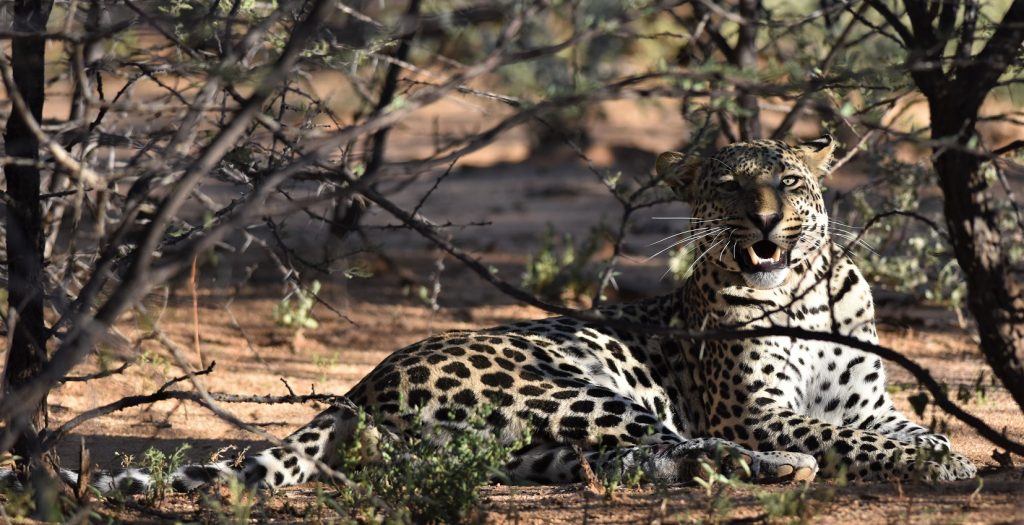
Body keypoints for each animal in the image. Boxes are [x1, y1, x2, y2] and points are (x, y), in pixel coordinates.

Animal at [29, 134, 974, 491]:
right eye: (728, 185)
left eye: (787, 181)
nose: (766, 221)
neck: (802, 290)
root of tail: (360, 384)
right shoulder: (758, 408)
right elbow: (844, 435)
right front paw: (943, 463)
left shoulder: (868, 398)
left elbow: (899, 423)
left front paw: (945, 452)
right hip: (571, 388)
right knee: (682, 443)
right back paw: (780, 468)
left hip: (536, 442)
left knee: (641, 460)